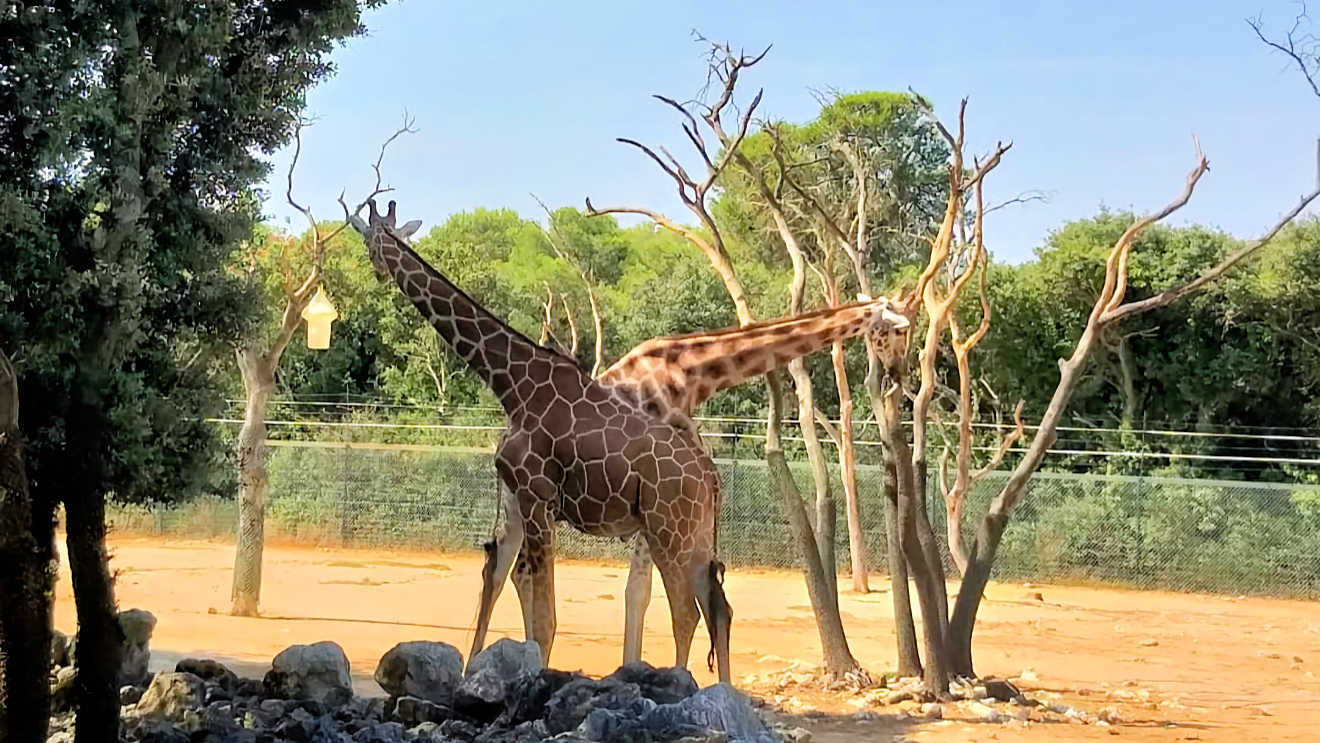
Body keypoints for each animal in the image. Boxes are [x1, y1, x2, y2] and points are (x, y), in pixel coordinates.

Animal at [347, 200, 736, 681]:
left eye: (374, 241)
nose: (379, 269)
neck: (513, 385)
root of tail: (711, 477)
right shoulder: (527, 499)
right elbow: (524, 595)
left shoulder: (536, 495)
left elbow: (545, 615)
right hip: (694, 534)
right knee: (717, 607)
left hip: (668, 529)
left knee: (687, 611)